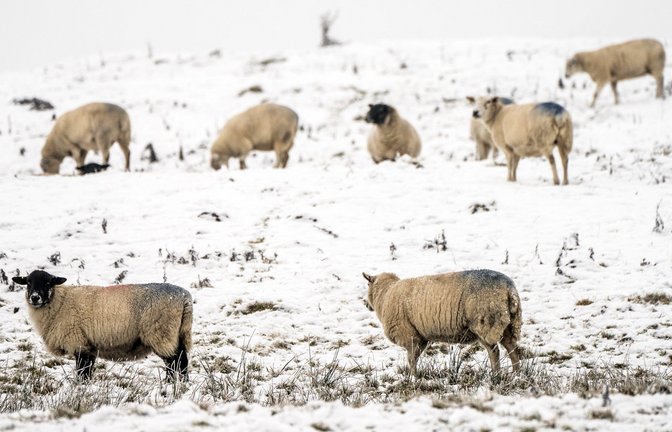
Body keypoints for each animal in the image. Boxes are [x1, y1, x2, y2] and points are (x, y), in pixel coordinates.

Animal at [12, 270, 192, 381]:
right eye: (28, 282)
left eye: (48, 282)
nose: (35, 297)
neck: (60, 303)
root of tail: (185, 297)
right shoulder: (88, 346)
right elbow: (88, 372)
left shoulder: (78, 342)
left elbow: (82, 372)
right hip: (177, 334)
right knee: (179, 361)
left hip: (161, 333)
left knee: (176, 362)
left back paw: (172, 384)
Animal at [362, 270, 522, 376]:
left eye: (368, 285)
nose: (366, 305)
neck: (385, 295)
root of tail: (509, 289)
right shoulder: (420, 337)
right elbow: (415, 358)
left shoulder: (410, 335)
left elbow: (411, 359)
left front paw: (412, 377)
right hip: (508, 323)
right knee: (512, 348)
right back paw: (516, 373)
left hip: (485, 323)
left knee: (494, 351)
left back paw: (496, 374)